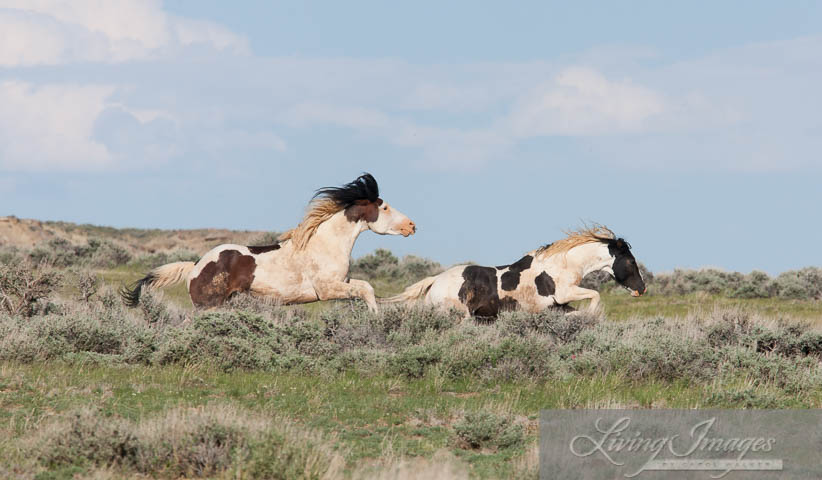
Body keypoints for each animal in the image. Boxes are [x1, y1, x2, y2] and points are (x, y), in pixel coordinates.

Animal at [120, 172, 418, 312]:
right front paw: (376, 316)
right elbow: (367, 289)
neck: (324, 245)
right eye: (385, 207)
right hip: (208, 306)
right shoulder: (327, 289)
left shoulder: (342, 283)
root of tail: (195, 266)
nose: (411, 226)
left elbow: (365, 286)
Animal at [384, 225, 648, 318]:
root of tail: (435, 282)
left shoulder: (558, 305)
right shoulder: (565, 293)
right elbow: (595, 295)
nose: (642, 289)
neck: (562, 265)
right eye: (631, 262)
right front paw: (588, 316)